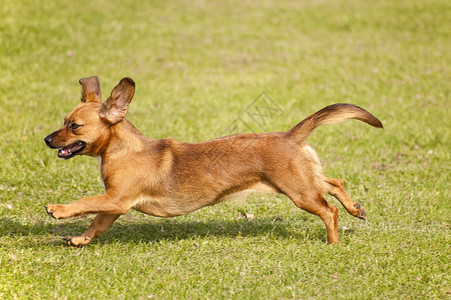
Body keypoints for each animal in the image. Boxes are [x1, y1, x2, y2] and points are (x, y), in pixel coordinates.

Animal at [45, 75, 384, 246]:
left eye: (74, 126)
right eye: (63, 121)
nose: (47, 140)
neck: (123, 149)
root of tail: (289, 136)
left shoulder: (116, 200)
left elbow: (86, 202)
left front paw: (59, 209)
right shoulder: (113, 206)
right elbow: (96, 224)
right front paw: (79, 239)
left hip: (299, 192)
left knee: (328, 210)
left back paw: (333, 242)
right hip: (302, 180)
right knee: (334, 182)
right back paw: (356, 209)